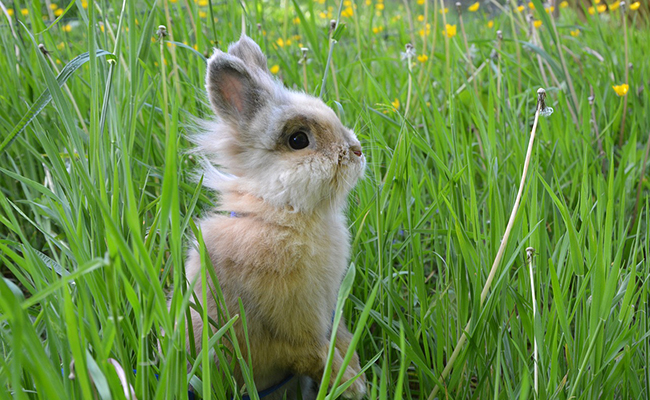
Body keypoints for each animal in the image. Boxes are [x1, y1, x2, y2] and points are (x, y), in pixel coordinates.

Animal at [180, 35, 368, 400]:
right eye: (298, 140)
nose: (356, 151)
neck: (283, 214)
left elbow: (340, 339)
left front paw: (356, 375)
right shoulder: (289, 333)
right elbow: (316, 355)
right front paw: (353, 384)